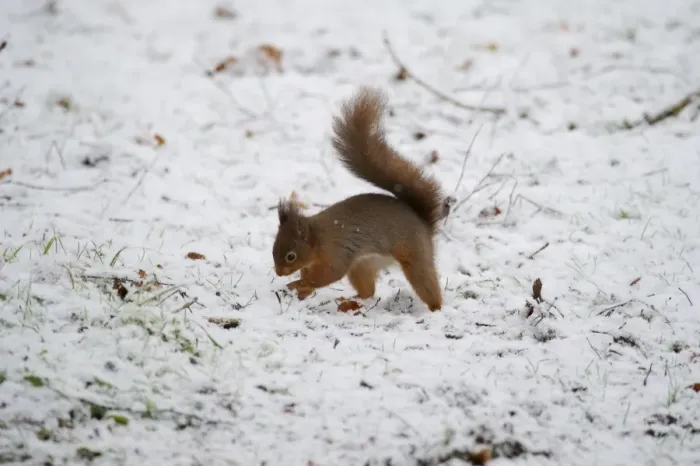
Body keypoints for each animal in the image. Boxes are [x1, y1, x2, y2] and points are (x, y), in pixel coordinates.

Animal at [272, 86, 445, 312]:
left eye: (291, 256)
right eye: (273, 249)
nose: (278, 273)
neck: (317, 239)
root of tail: (425, 224)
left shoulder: (335, 252)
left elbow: (329, 274)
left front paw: (298, 284)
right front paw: (302, 290)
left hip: (414, 255)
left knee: (426, 283)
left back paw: (435, 309)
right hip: (362, 265)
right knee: (368, 292)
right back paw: (349, 302)